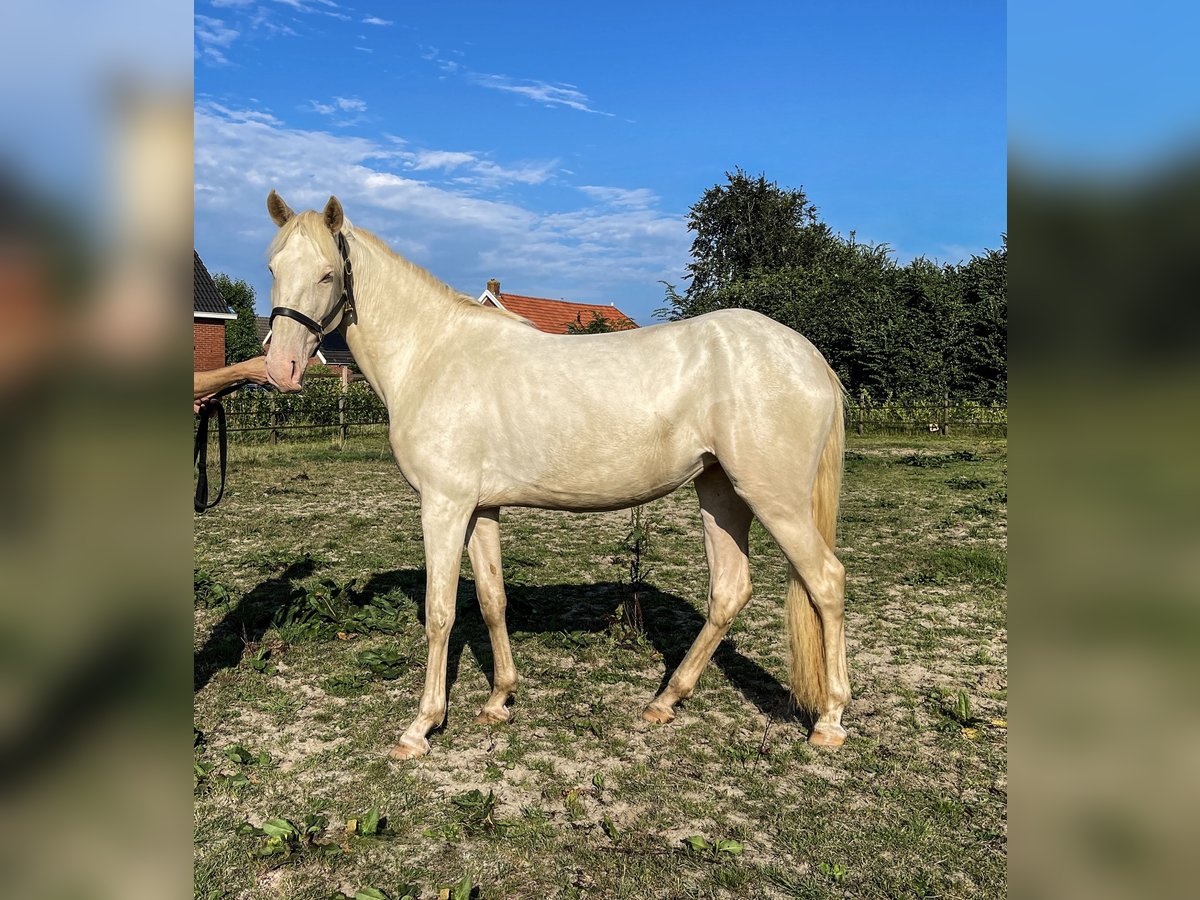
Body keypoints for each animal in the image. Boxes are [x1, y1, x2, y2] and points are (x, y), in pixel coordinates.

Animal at [261, 192, 849, 763]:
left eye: (327, 274)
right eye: (272, 267)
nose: (281, 368)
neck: (432, 355)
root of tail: (807, 355)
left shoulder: (443, 505)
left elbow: (440, 612)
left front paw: (421, 728)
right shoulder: (480, 508)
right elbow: (492, 600)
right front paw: (499, 700)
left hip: (773, 499)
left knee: (825, 582)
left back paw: (829, 722)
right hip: (721, 491)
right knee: (729, 591)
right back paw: (664, 701)